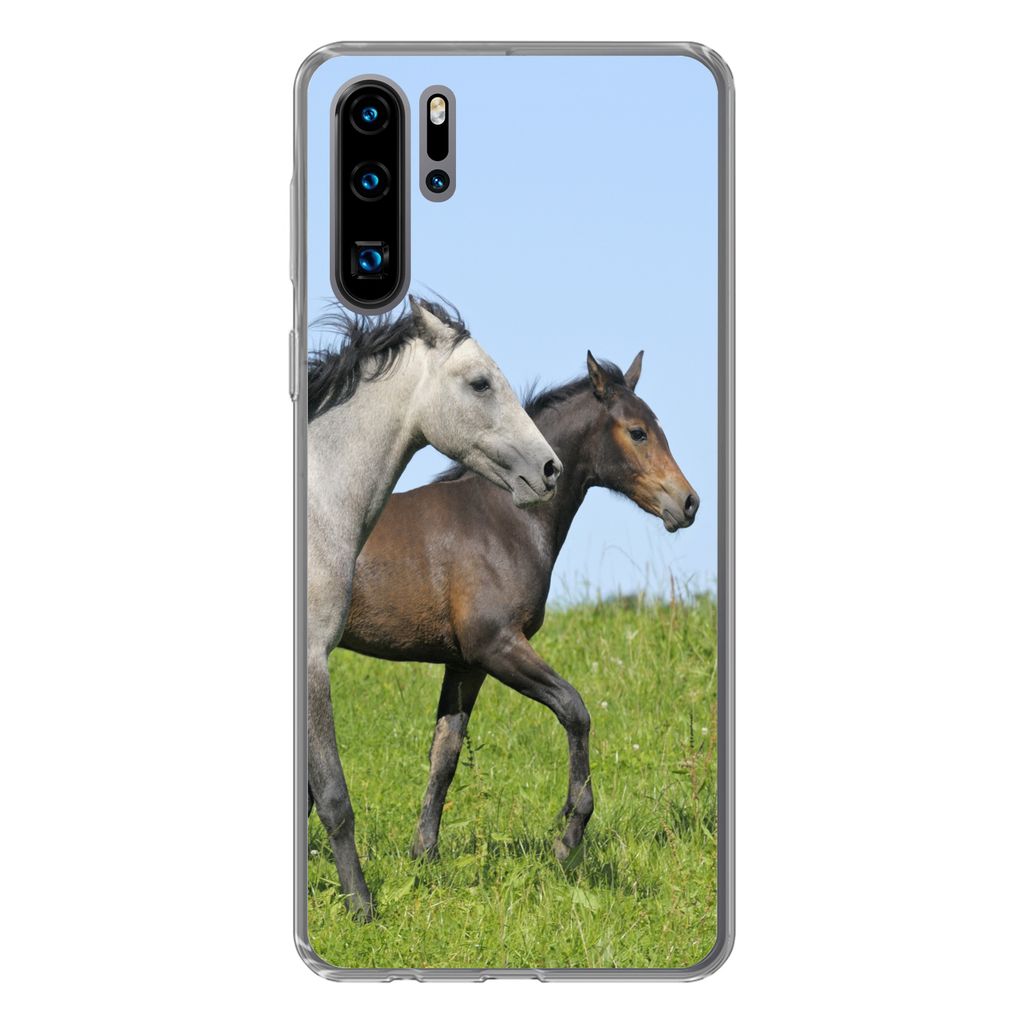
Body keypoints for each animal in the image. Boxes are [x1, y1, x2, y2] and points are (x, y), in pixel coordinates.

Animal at [338, 351, 698, 870]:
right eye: (637, 432)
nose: (687, 503)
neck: (501, 520)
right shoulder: (497, 645)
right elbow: (575, 709)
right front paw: (570, 833)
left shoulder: (465, 664)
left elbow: (445, 753)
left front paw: (425, 855)